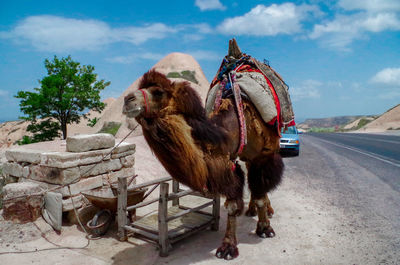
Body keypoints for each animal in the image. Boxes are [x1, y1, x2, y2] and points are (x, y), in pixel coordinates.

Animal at [122, 42, 284, 258]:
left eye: (158, 92)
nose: (127, 100)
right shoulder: (228, 162)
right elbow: (233, 204)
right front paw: (228, 246)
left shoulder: (262, 155)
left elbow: (258, 194)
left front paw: (264, 229)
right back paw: (251, 210)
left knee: (261, 183)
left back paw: (266, 210)